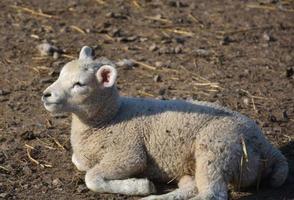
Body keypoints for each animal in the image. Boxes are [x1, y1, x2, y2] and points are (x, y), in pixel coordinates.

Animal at [40, 46, 288, 199]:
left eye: (79, 84)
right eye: (60, 74)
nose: (46, 95)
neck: (110, 118)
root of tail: (267, 146)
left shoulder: (128, 153)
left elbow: (91, 177)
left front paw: (140, 185)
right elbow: (79, 162)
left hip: (217, 147)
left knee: (212, 194)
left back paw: (150, 195)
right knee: (193, 186)